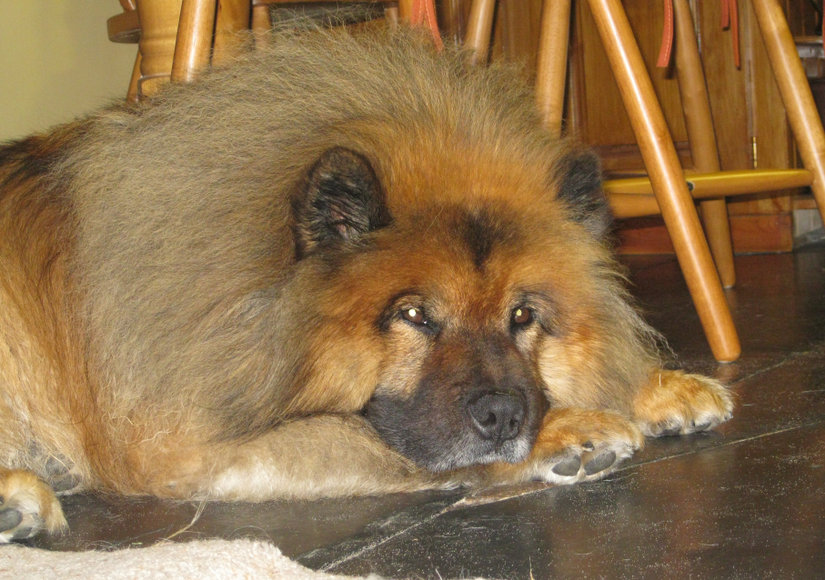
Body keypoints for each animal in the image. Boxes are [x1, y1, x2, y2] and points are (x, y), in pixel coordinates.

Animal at [0, 26, 732, 544]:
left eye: (523, 317)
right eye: (413, 315)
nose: (502, 416)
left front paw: (656, 386)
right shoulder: (184, 445)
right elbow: (380, 441)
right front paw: (570, 429)